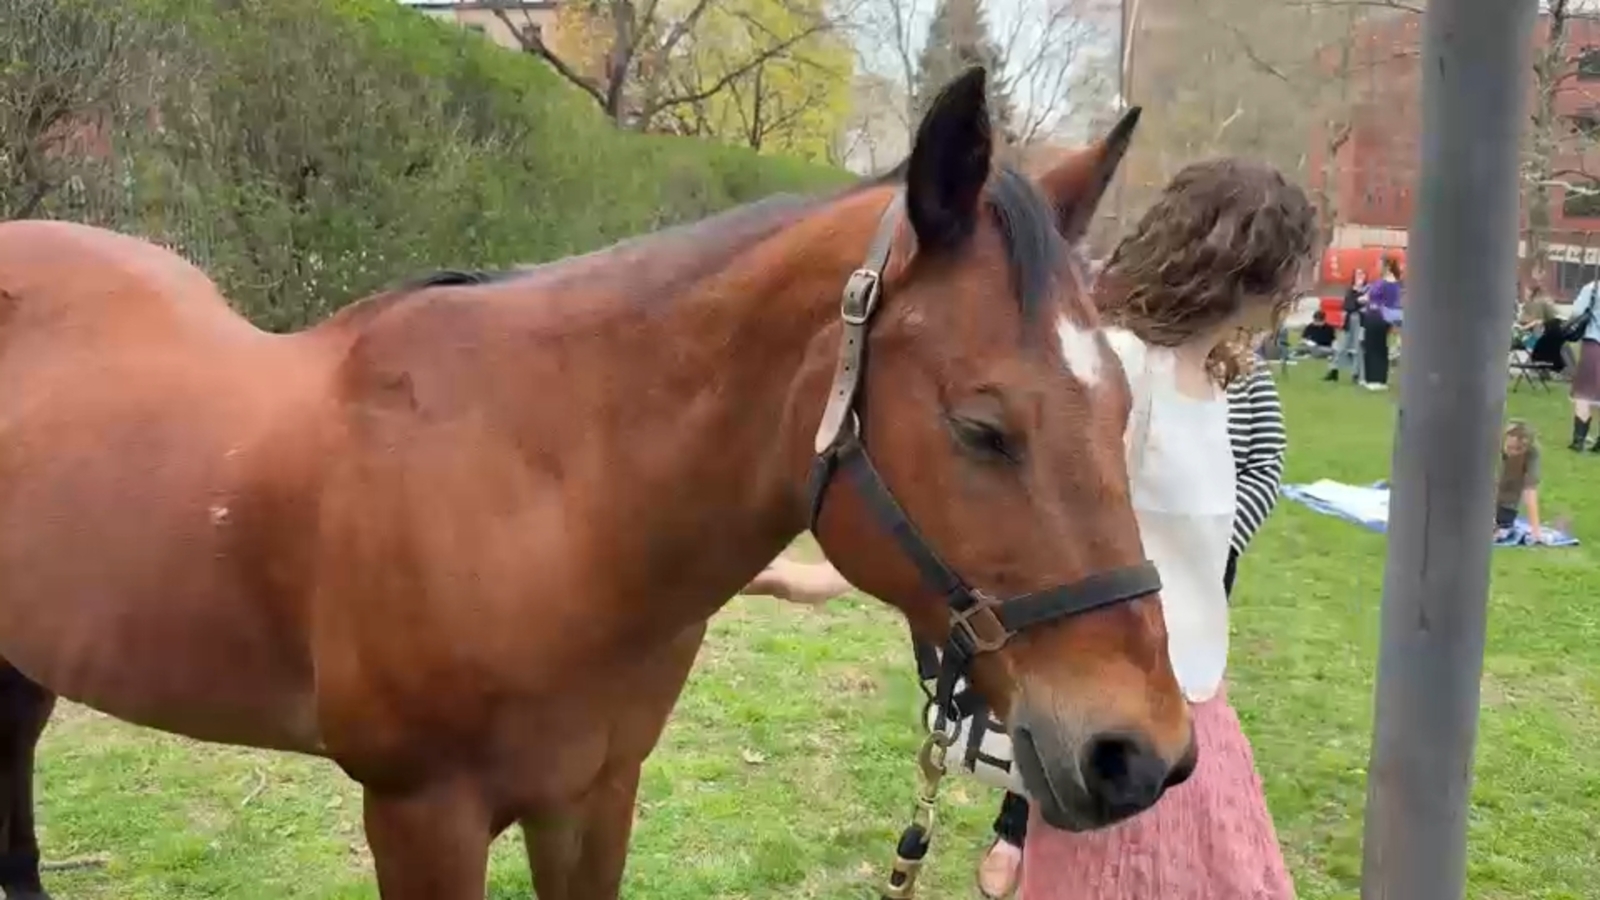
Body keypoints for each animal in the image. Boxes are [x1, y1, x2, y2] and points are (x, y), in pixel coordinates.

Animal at [0, 68, 1194, 899]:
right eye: (981, 427)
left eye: (1122, 411)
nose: (1141, 756)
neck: (542, 501)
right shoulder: (421, 819)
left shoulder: (593, 798)